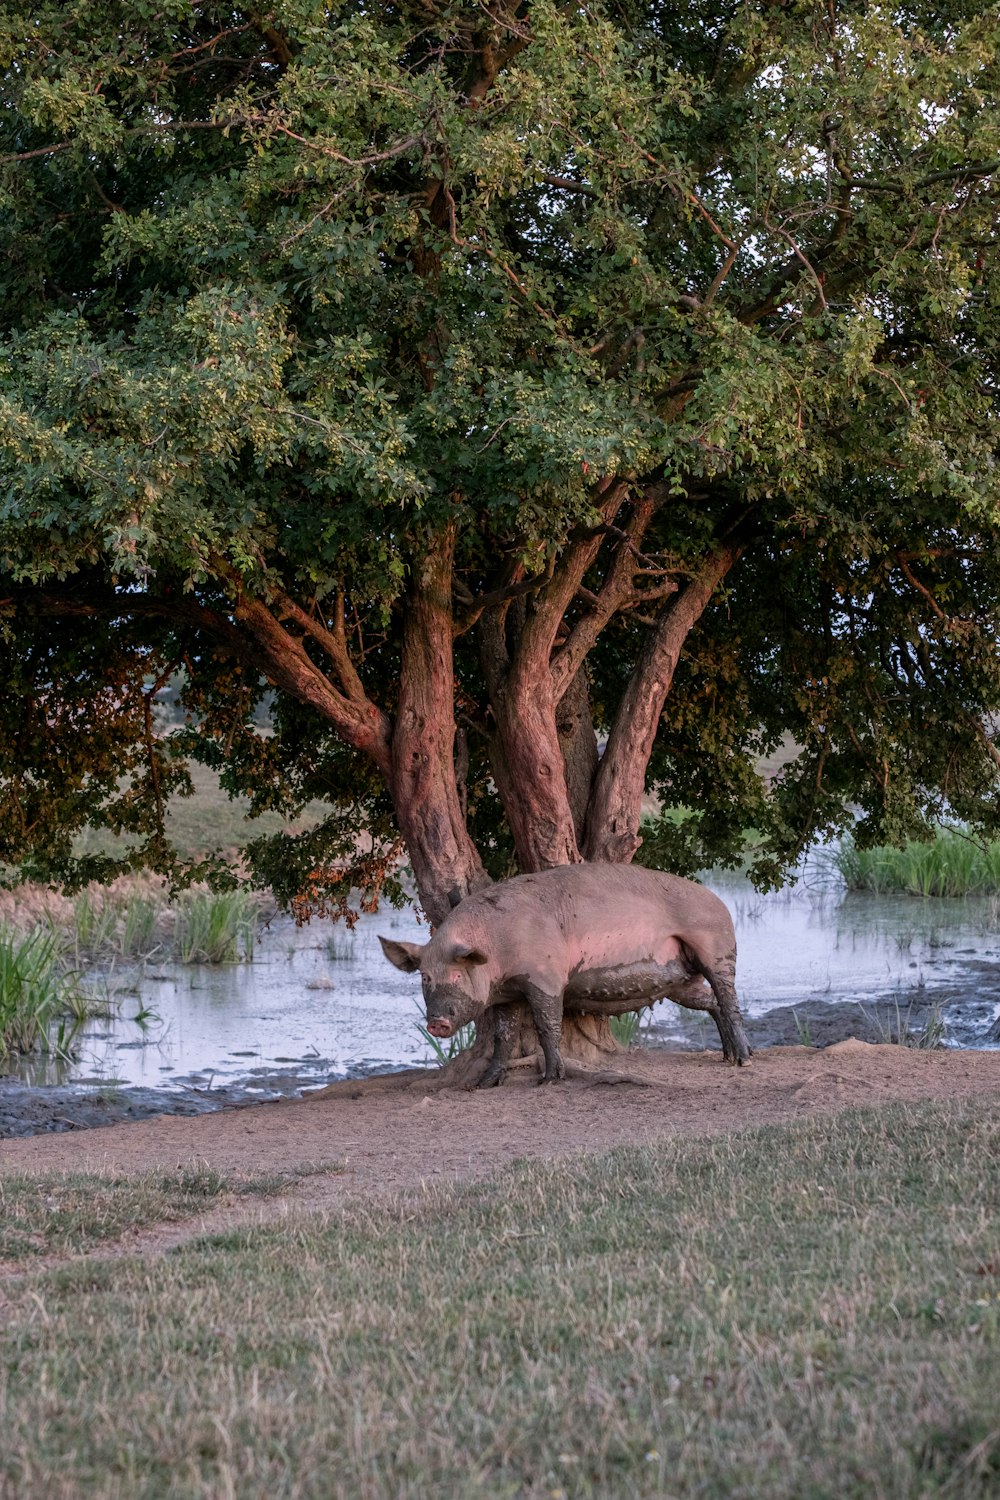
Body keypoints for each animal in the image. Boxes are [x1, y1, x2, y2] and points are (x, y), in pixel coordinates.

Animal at [383, 864, 749, 1086]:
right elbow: (503, 1036)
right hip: (682, 981)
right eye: (425, 978)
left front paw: (550, 1079)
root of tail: (721, 902)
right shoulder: (506, 996)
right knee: (712, 1003)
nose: (436, 1022)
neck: (499, 948)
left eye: (458, 975)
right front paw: (485, 1084)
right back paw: (727, 1056)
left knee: (729, 999)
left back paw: (744, 1060)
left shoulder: (546, 978)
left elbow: (548, 1025)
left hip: (716, 949)